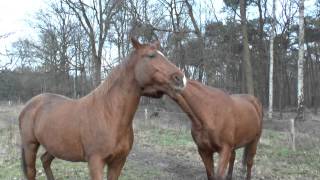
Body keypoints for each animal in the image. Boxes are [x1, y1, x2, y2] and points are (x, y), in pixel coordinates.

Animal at [18, 37, 188, 179]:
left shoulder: (118, 162)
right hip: (30, 145)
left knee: (45, 160)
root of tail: (30, 105)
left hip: (55, 146)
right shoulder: (95, 162)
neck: (109, 114)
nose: (181, 78)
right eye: (151, 56)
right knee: (32, 171)